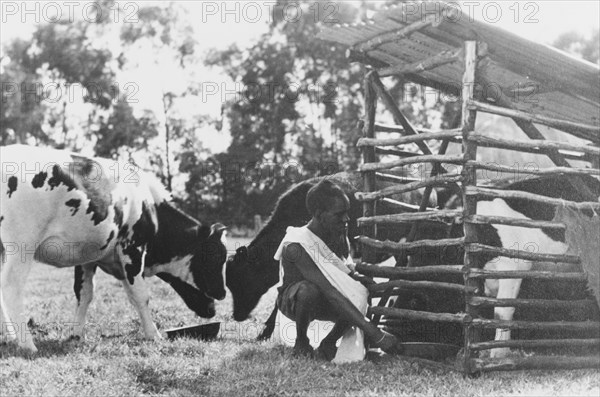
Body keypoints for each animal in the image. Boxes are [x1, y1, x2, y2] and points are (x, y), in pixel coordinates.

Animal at [0, 145, 227, 352]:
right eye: (215, 258)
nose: (222, 294)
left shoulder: (89, 256)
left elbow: (84, 294)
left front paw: (76, 335)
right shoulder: (132, 248)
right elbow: (140, 295)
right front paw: (153, 334)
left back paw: (10, 338)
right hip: (22, 246)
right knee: (11, 287)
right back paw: (27, 345)